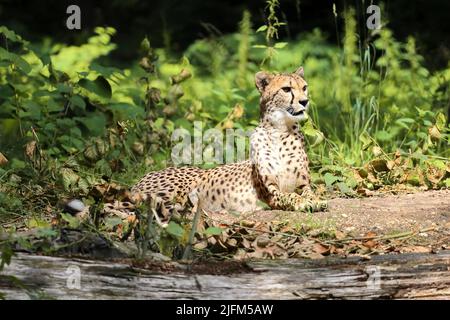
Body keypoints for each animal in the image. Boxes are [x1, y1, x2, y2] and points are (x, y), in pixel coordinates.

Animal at [75, 67, 326, 222]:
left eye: (304, 87)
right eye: (287, 89)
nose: (305, 101)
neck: (280, 131)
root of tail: (146, 175)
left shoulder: (303, 183)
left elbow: (309, 192)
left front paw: (315, 201)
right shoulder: (271, 191)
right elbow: (290, 197)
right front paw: (304, 203)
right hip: (169, 193)